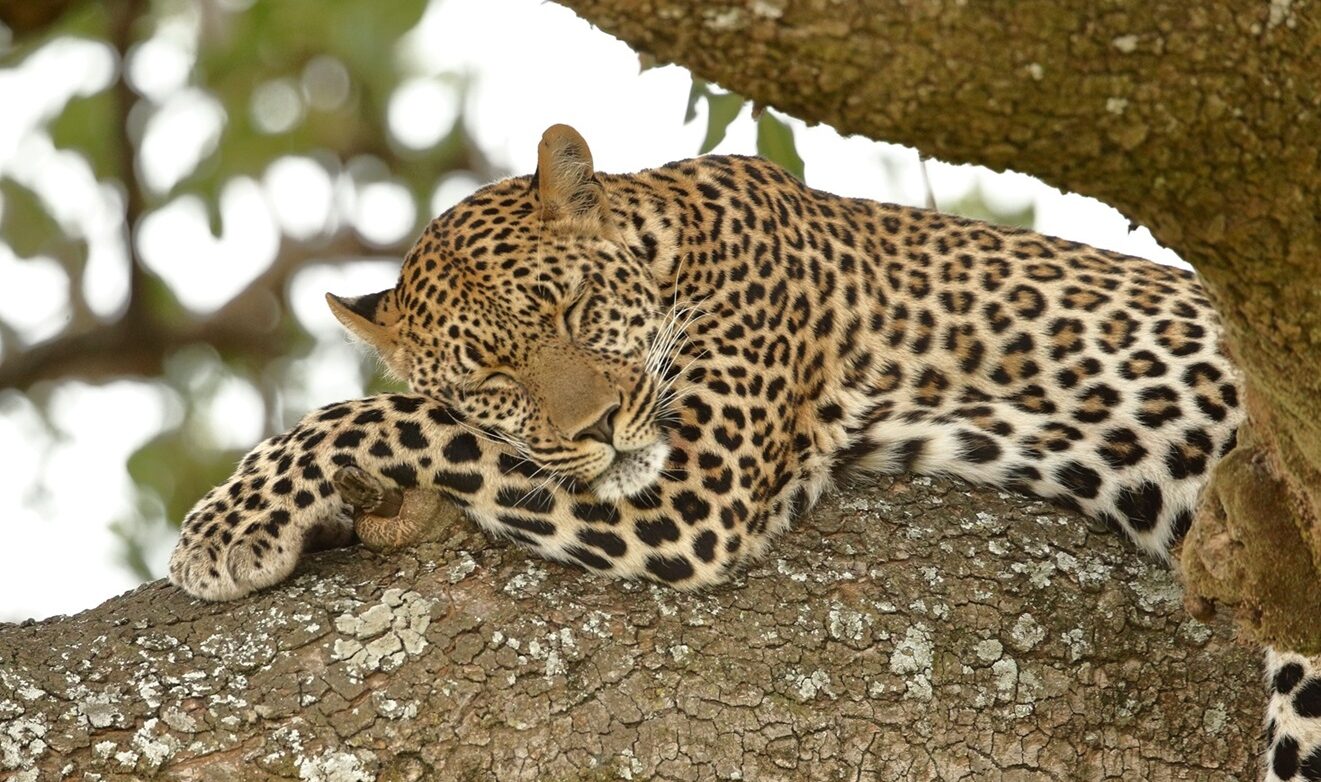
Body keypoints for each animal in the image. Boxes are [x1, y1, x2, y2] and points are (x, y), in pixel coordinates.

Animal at [168, 124, 1321, 780]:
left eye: (573, 309)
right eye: (491, 369)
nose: (595, 426)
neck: (672, 239)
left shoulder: (693, 490)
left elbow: (386, 411)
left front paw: (225, 524)